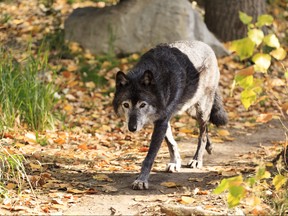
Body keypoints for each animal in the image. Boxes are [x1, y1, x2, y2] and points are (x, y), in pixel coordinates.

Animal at [112, 40, 227, 189]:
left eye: (142, 105)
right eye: (126, 105)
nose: (132, 128)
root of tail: (206, 45)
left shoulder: (161, 120)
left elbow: (150, 156)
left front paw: (141, 180)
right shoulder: (163, 119)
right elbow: (171, 142)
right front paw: (175, 162)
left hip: (201, 110)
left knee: (202, 133)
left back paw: (197, 159)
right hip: (189, 110)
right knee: (206, 128)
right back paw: (209, 146)